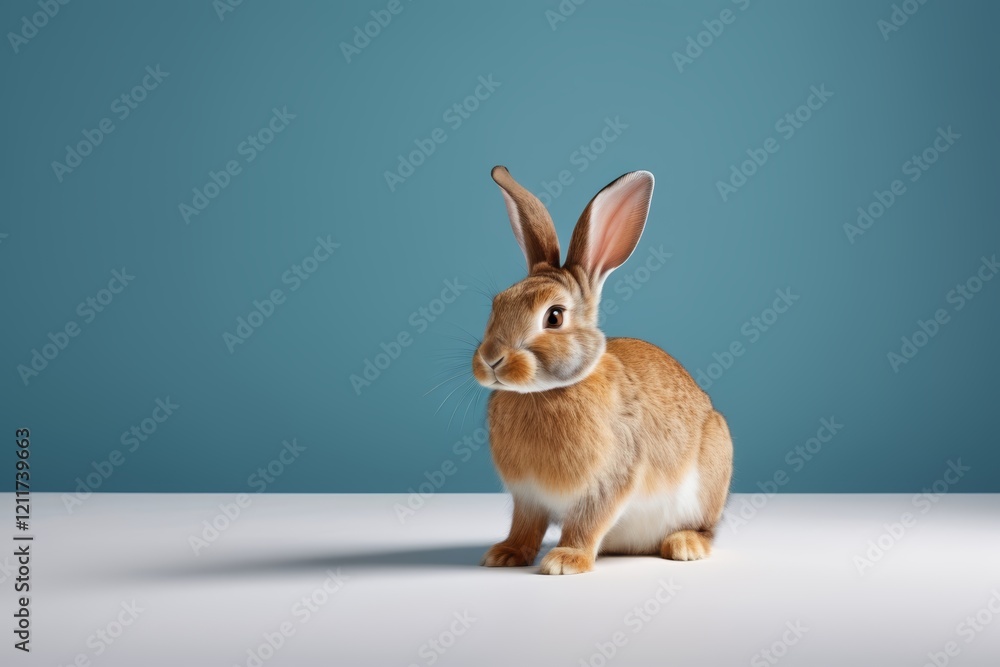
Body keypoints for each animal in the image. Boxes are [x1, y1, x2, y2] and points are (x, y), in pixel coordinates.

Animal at [472, 166, 733, 575]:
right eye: (497, 304)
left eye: (554, 316)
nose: (491, 359)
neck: (546, 392)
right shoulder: (527, 497)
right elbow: (524, 526)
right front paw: (505, 553)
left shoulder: (608, 483)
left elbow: (586, 522)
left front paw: (565, 561)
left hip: (710, 477)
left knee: (705, 528)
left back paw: (684, 545)